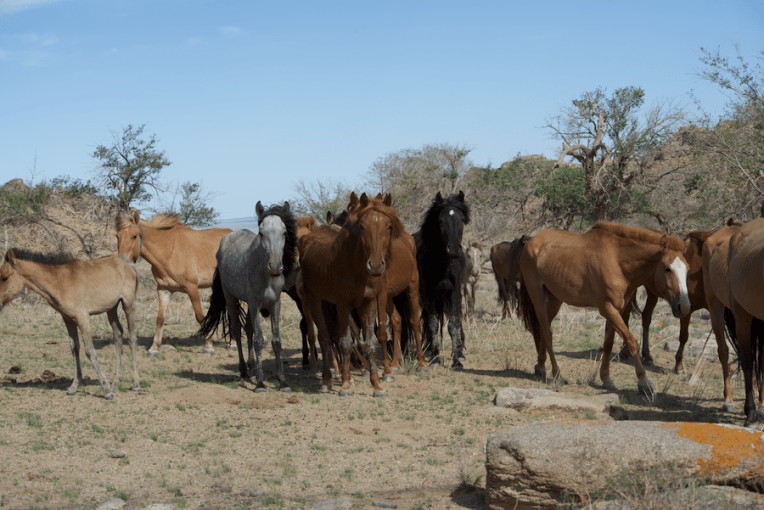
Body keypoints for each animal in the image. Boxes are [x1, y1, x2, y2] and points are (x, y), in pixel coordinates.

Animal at [0, 249, 140, 399]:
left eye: (4, 277)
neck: (59, 281)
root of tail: (127, 264)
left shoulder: (82, 318)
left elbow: (89, 351)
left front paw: (106, 389)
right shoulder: (68, 318)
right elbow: (74, 348)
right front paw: (74, 386)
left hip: (128, 304)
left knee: (131, 337)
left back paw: (135, 383)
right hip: (111, 309)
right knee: (118, 335)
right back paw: (116, 381)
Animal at [115, 211, 231, 355]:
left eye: (134, 236)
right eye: (117, 236)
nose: (121, 262)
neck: (169, 252)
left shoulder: (192, 288)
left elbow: (200, 316)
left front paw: (209, 346)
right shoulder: (164, 290)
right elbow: (160, 319)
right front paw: (154, 348)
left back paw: (232, 344)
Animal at [199, 202, 297, 392]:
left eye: (284, 232)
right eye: (262, 233)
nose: (275, 267)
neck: (266, 276)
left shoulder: (275, 304)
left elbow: (276, 342)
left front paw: (282, 382)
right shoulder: (254, 303)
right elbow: (258, 340)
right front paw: (260, 383)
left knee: (248, 329)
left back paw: (252, 366)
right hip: (230, 298)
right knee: (237, 330)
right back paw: (244, 369)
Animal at [414, 190, 471, 368]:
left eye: (462, 219)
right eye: (440, 221)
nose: (453, 249)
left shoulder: (453, 292)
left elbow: (453, 324)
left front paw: (457, 360)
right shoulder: (427, 294)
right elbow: (432, 324)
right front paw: (435, 359)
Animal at [518, 222, 691, 393]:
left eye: (687, 268)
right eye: (667, 268)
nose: (684, 306)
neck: (617, 260)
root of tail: (531, 242)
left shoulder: (616, 310)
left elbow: (608, 343)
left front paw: (606, 379)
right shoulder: (608, 308)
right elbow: (631, 341)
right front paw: (644, 382)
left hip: (555, 299)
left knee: (543, 328)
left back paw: (540, 367)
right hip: (538, 296)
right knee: (547, 333)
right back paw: (557, 374)